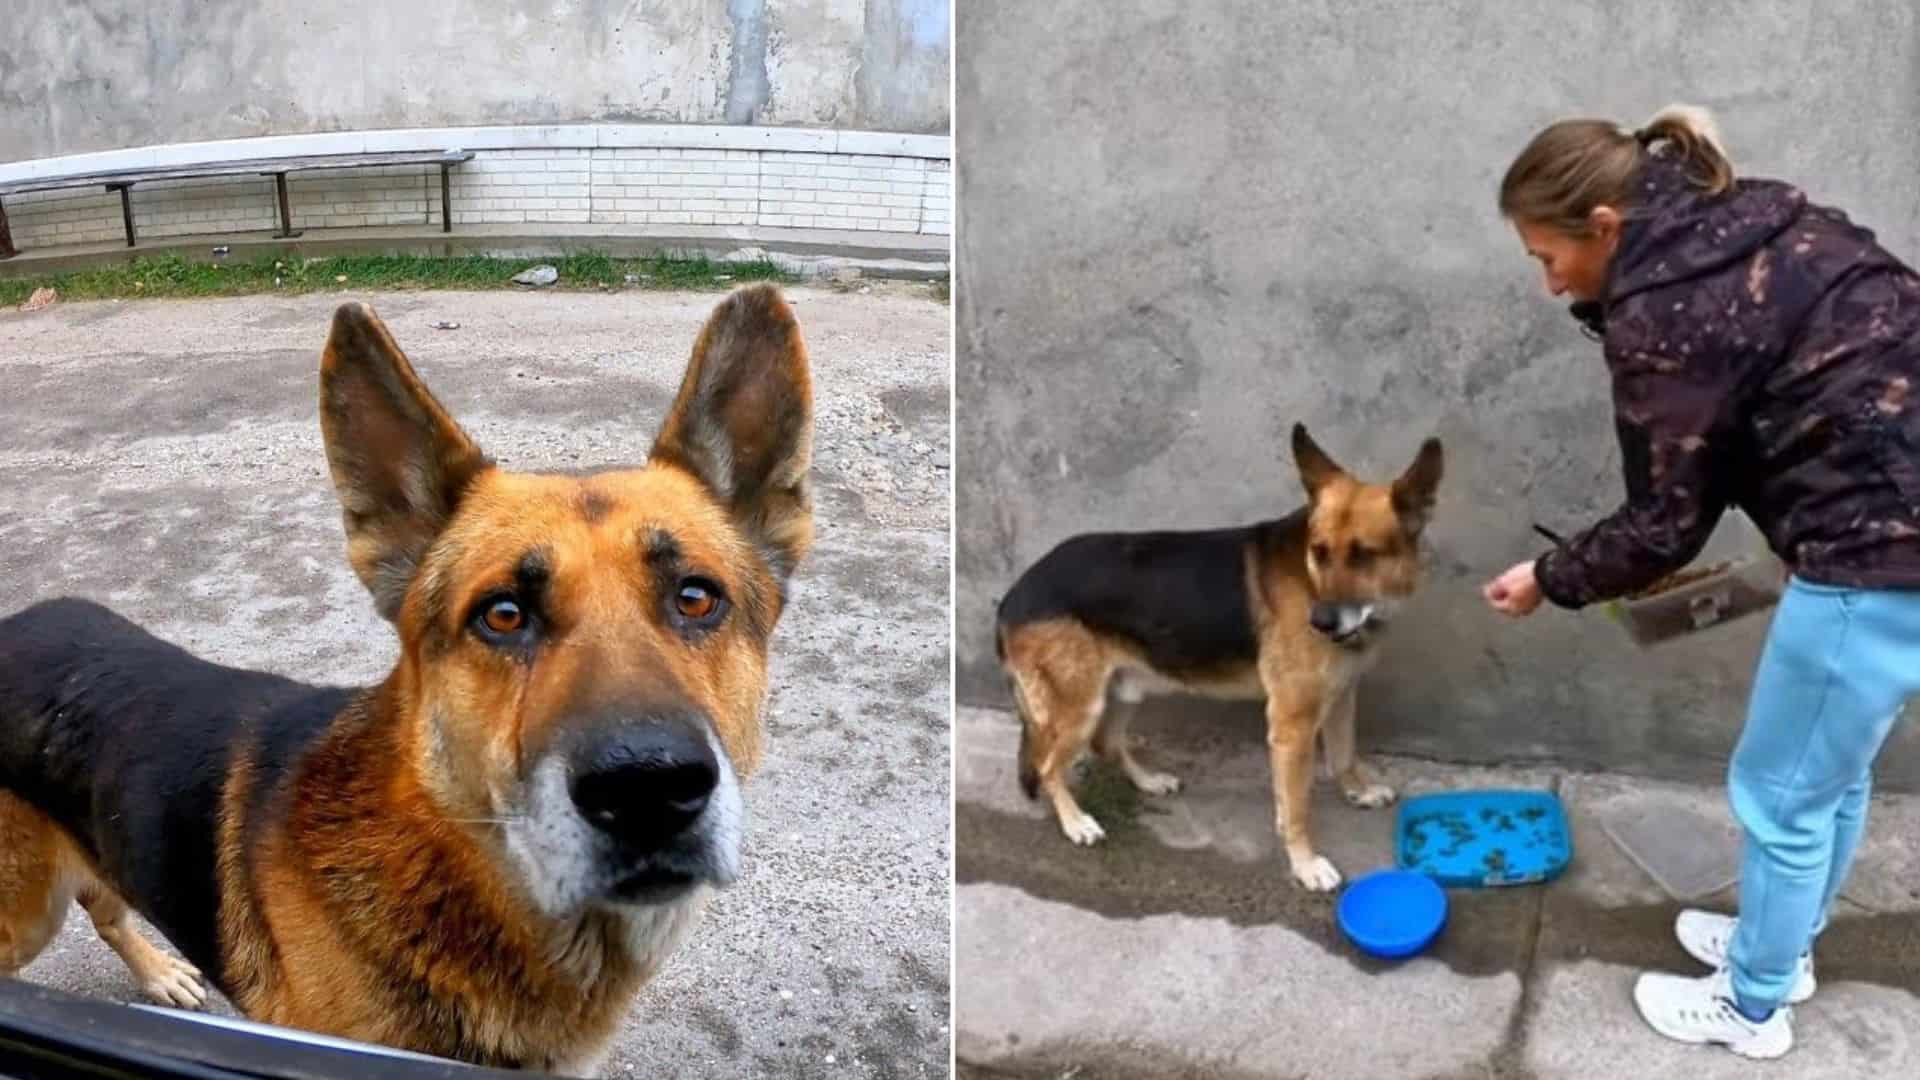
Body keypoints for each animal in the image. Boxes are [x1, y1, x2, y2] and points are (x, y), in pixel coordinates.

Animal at [0, 282, 814, 1068]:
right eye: (503, 614)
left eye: (696, 598)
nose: (647, 787)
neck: (443, 861)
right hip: (28, 914)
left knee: (105, 905)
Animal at [998, 424, 1436, 887]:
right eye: (1319, 551)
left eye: (1364, 555)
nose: (1319, 622)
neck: (1310, 577)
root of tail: (1012, 596)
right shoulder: (1292, 725)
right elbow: (1296, 806)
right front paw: (1305, 863)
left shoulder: (1341, 695)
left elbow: (1343, 754)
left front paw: (1359, 791)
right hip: (1080, 707)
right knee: (1048, 766)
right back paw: (1075, 822)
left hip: (1124, 690)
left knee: (1105, 743)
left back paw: (1148, 781)